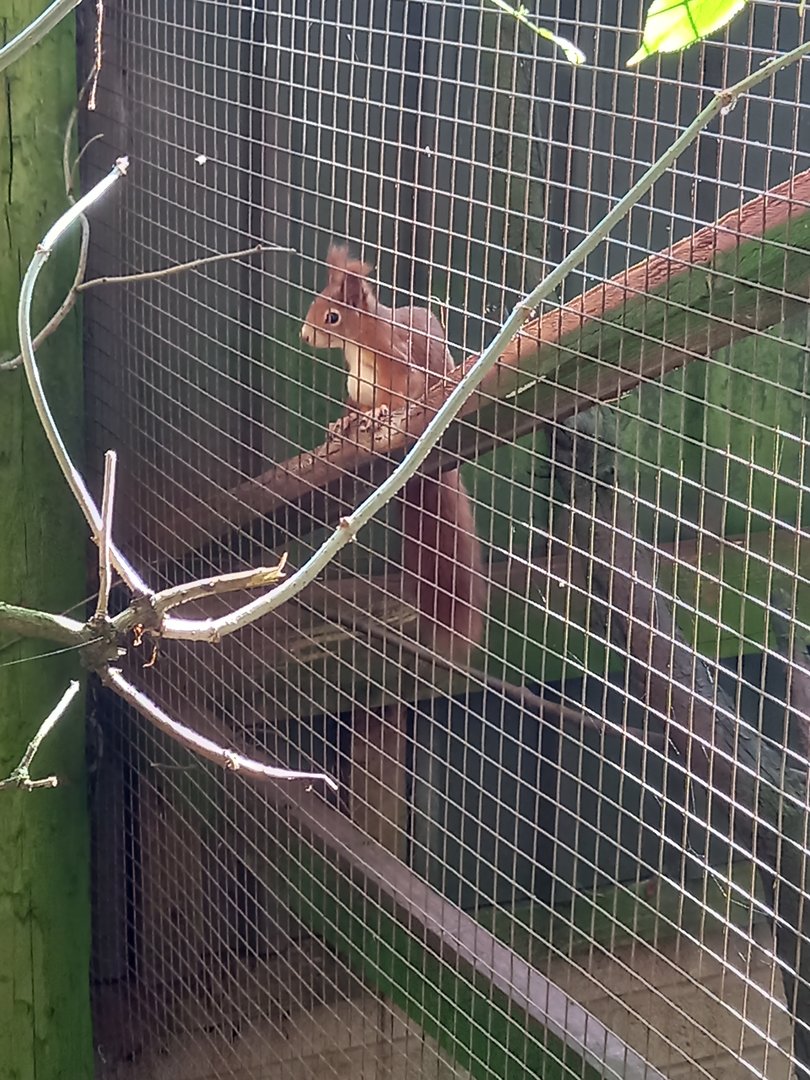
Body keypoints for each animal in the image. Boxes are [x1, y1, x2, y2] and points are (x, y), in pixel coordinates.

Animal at [301, 244, 484, 660]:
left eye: (332, 317)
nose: (304, 334)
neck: (359, 344)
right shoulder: (357, 384)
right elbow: (354, 406)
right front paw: (344, 422)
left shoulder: (400, 363)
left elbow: (406, 393)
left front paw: (381, 414)